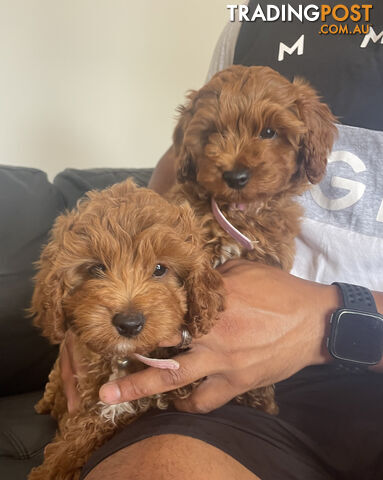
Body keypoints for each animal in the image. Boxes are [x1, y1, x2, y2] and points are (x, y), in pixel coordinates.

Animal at [29, 180, 225, 480]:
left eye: (160, 269)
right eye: (97, 268)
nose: (129, 323)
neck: (122, 359)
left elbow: (83, 437)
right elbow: (70, 444)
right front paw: (50, 469)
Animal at [170, 65, 338, 412]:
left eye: (269, 132)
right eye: (211, 134)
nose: (235, 176)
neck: (240, 213)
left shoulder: (272, 256)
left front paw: (260, 397)